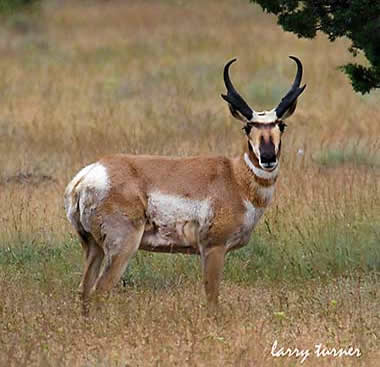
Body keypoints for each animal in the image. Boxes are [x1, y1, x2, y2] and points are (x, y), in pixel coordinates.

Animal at [63, 56, 306, 310]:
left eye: (281, 125)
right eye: (247, 126)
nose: (268, 157)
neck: (234, 176)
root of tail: (91, 173)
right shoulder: (213, 248)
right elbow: (212, 299)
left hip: (93, 248)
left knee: (84, 291)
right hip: (122, 248)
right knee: (99, 291)